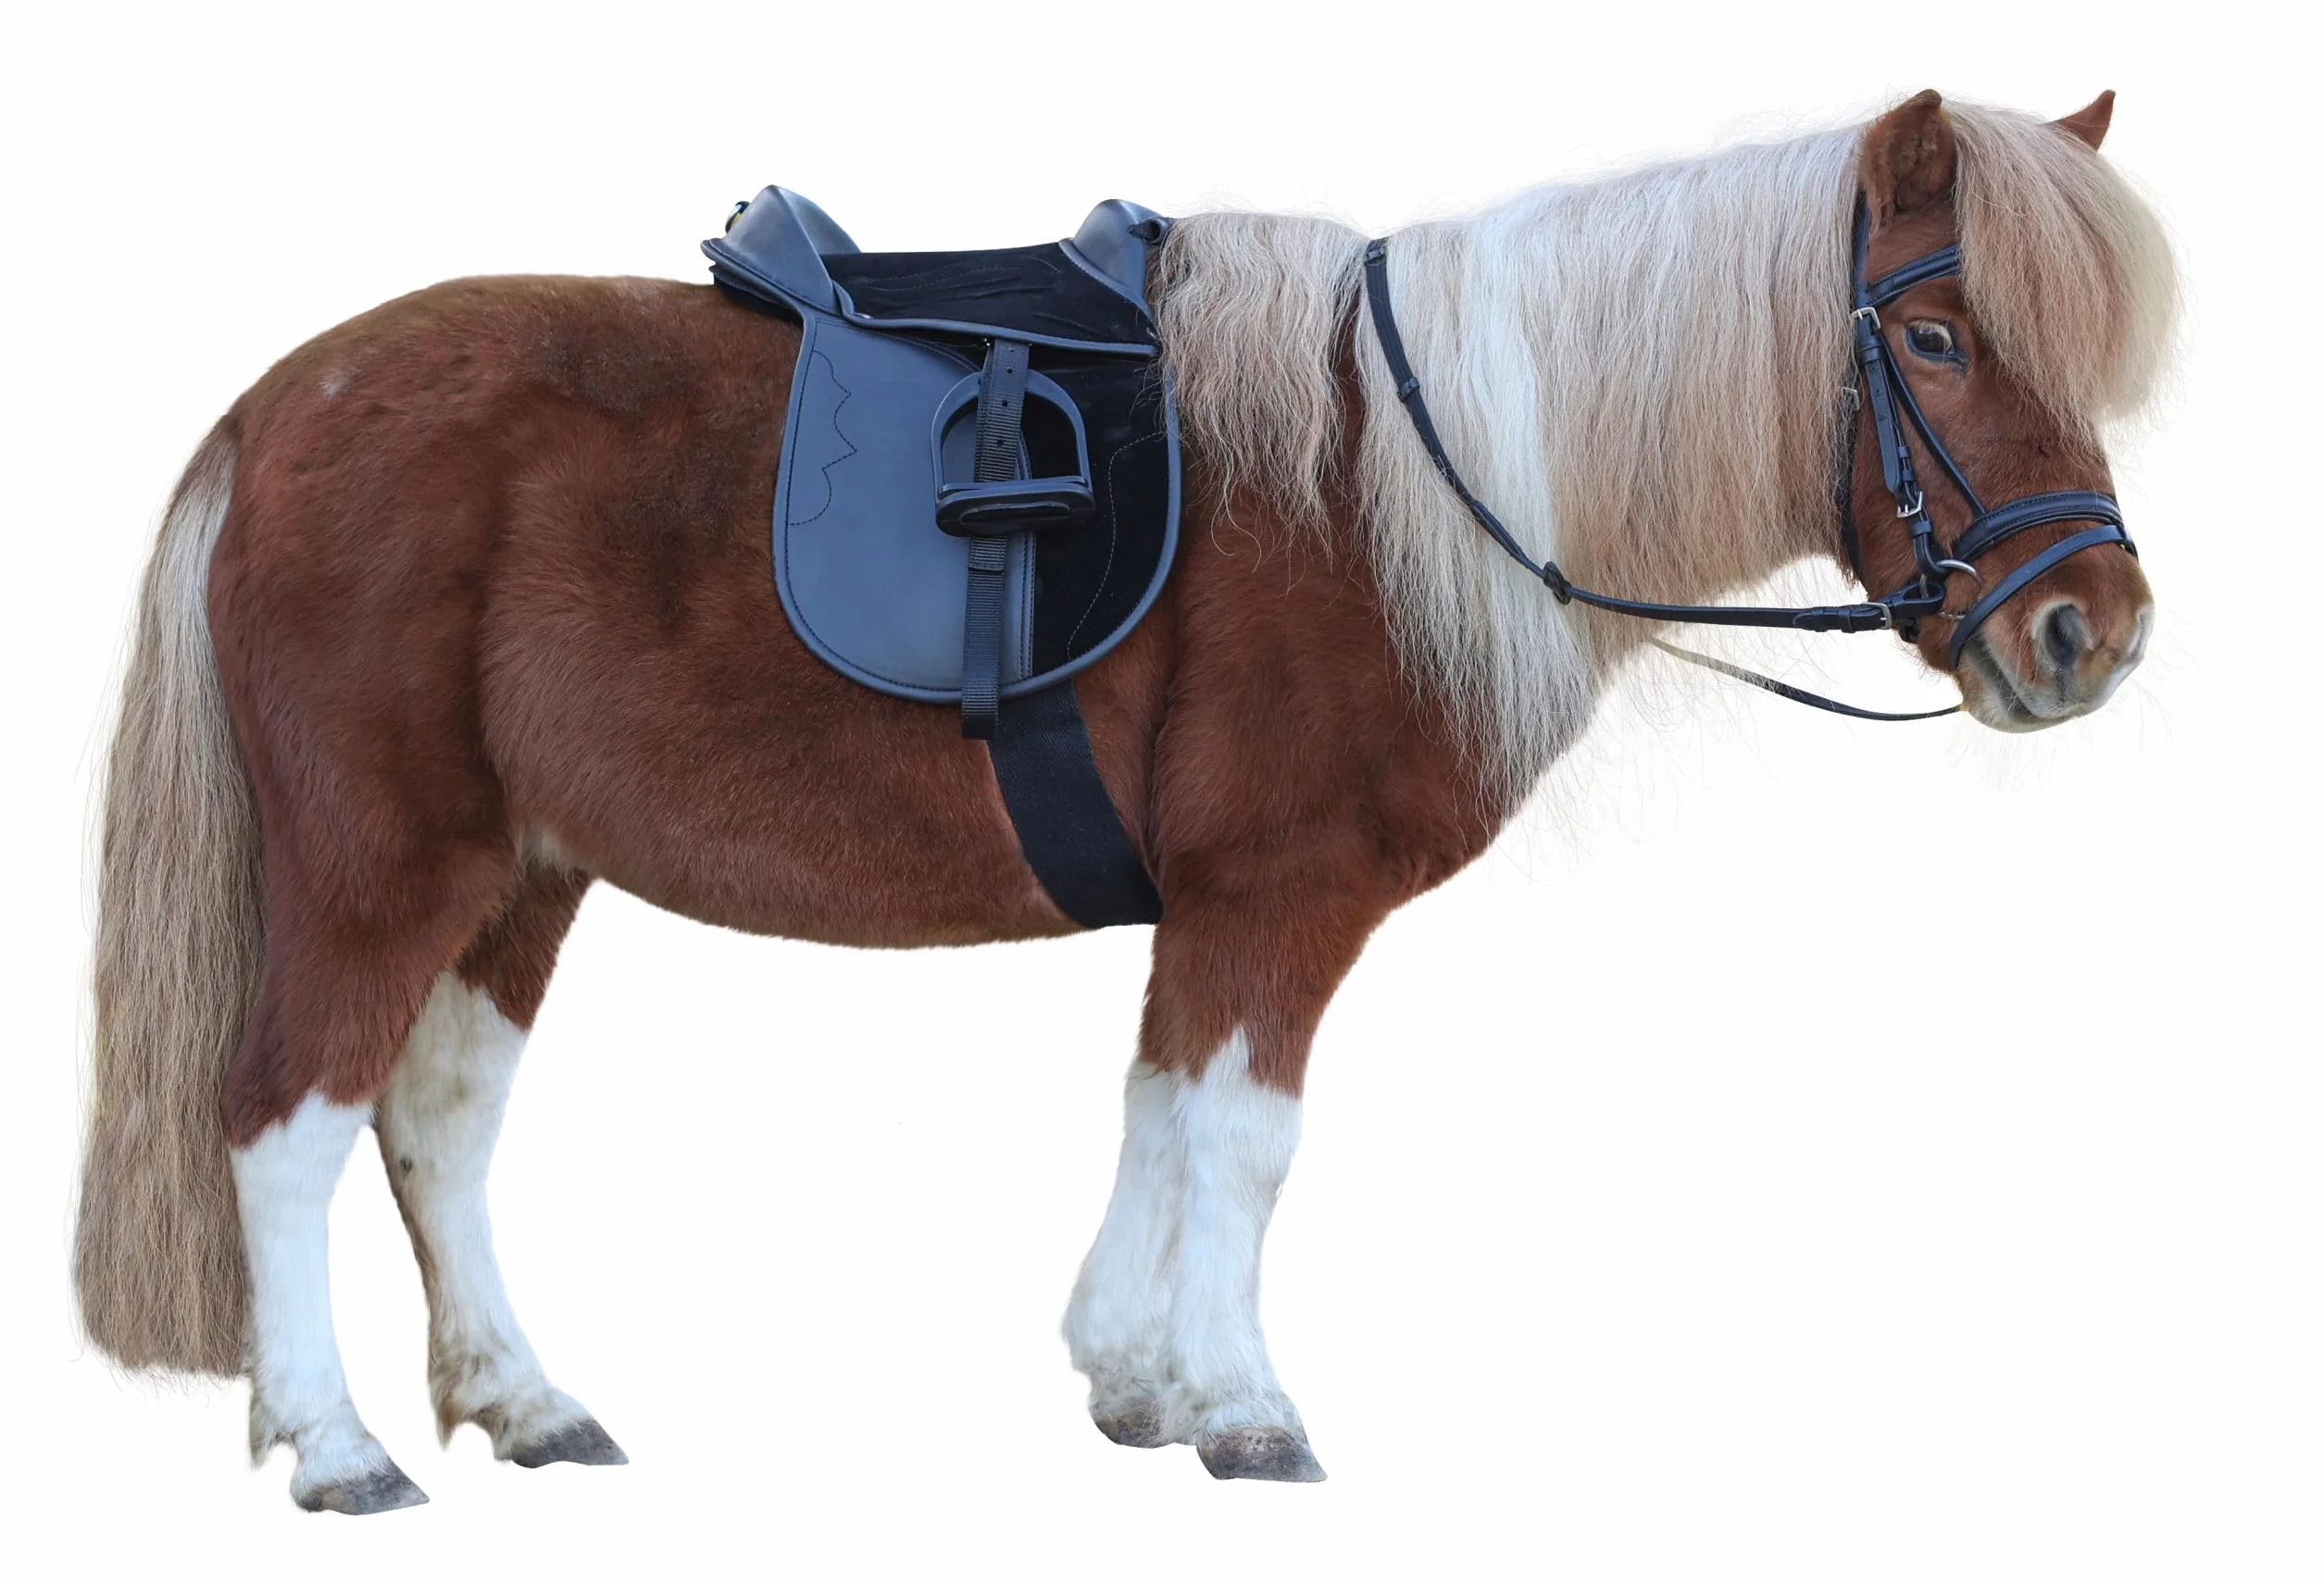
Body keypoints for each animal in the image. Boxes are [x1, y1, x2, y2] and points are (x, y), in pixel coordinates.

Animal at [74, 88, 2176, 1512]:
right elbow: (1242, 1139)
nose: (2092, 630)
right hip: (380, 866)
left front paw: (1131, 1377)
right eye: (1933, 338)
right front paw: (1241, 1408)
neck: (1403, 483)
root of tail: (275, 408)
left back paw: (521, 1398)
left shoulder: (1216, 908)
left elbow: (1163, 1109)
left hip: (521, 872)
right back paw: (336, 1439)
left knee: (436, 1124)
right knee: (285, 1124)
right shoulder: (1280, 892)